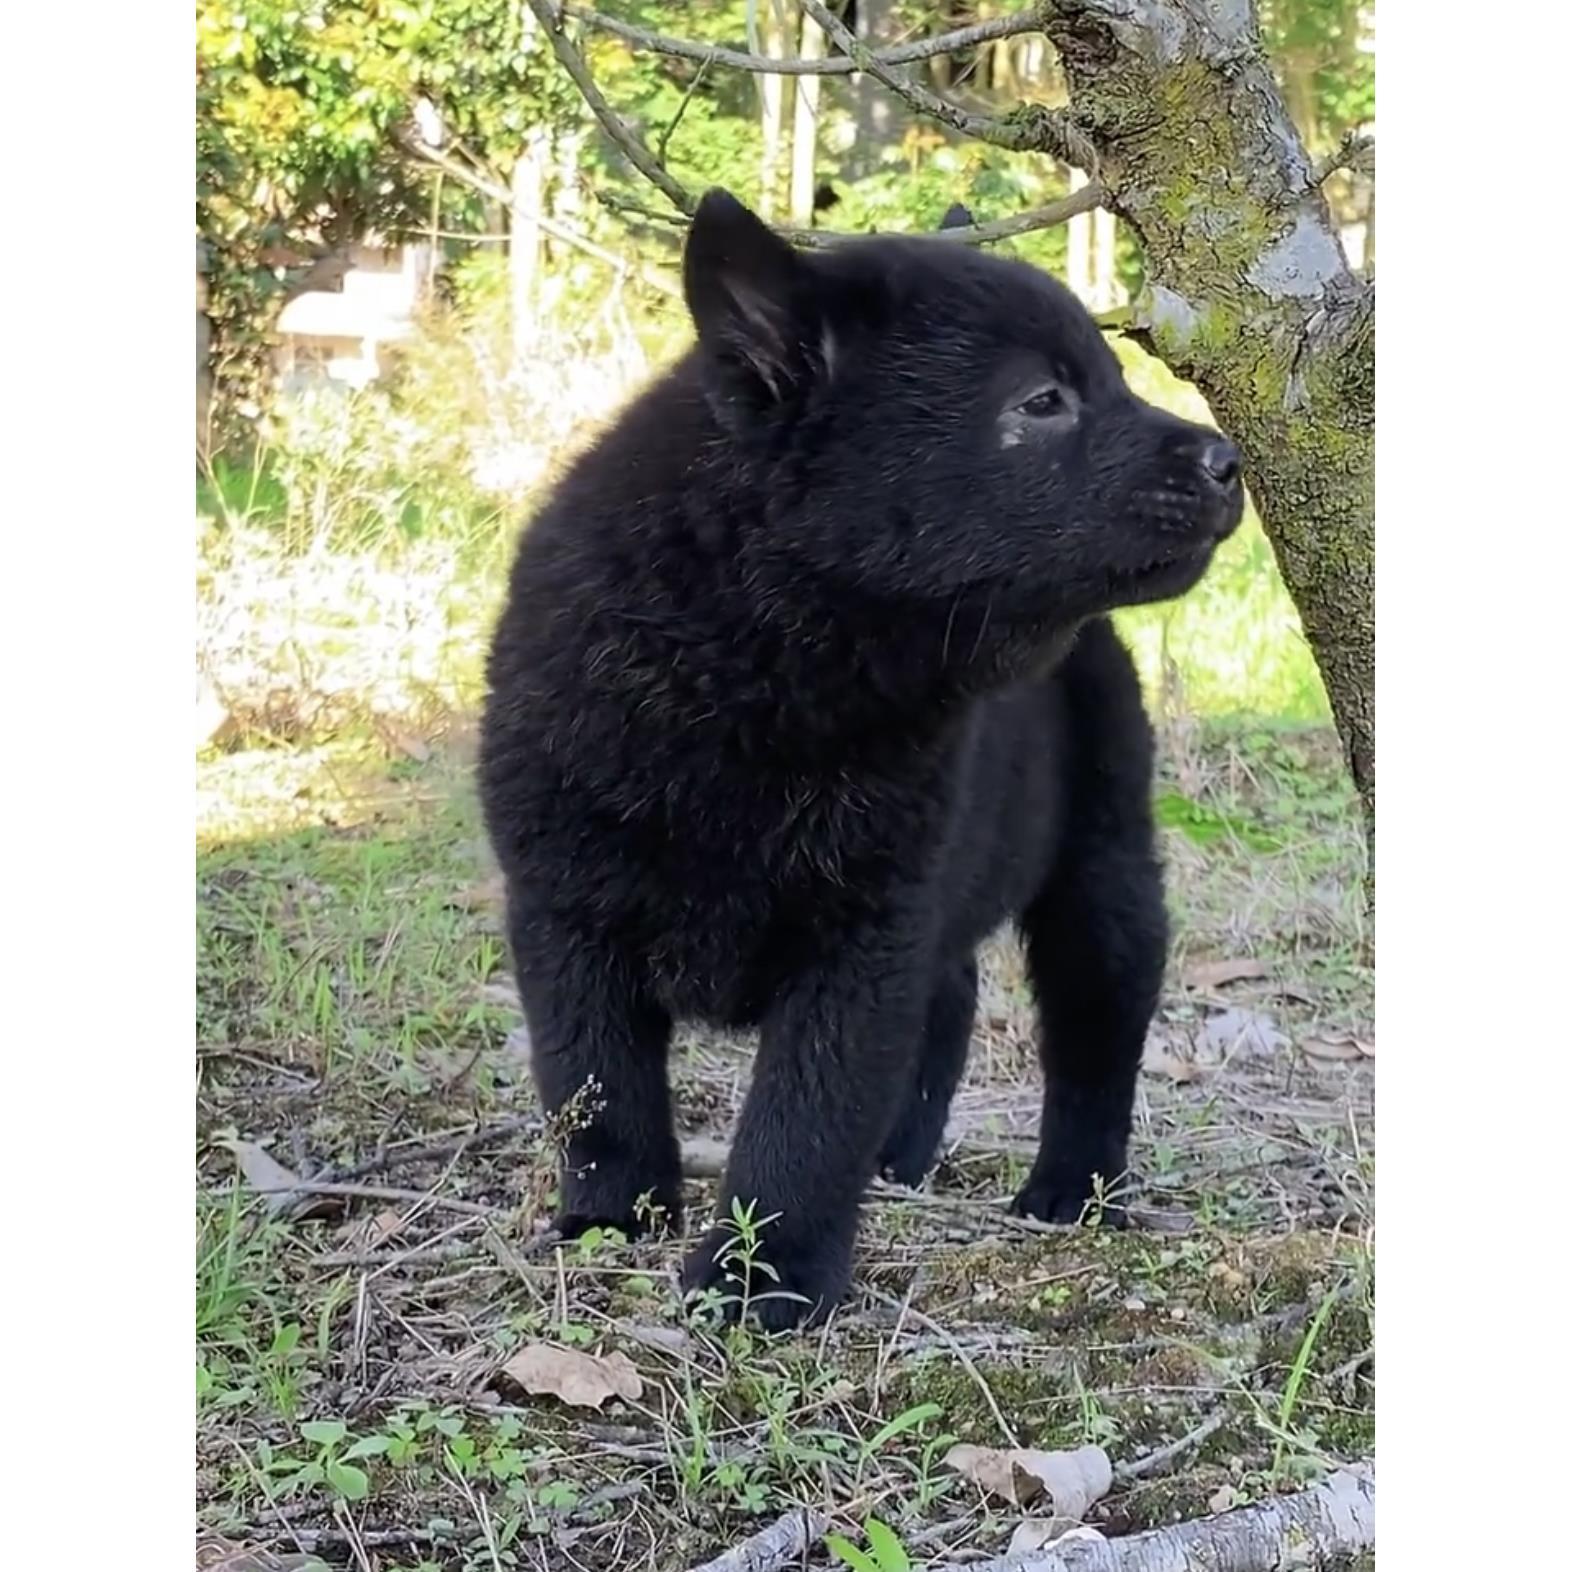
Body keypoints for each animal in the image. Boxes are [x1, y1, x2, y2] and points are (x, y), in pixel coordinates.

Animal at [477, 190, 1238, 1333]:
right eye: (1045, 401)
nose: (1228, 462)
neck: (749, 666)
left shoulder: (860, 936)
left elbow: (805, 1117)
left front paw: (762, 1277)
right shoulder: (564, 910)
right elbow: (595, 1087)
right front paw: (610, 1224)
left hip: (1099, 868)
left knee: (1096, 1030)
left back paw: (1073, 1189)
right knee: (953, 999)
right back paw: (903, 1159)